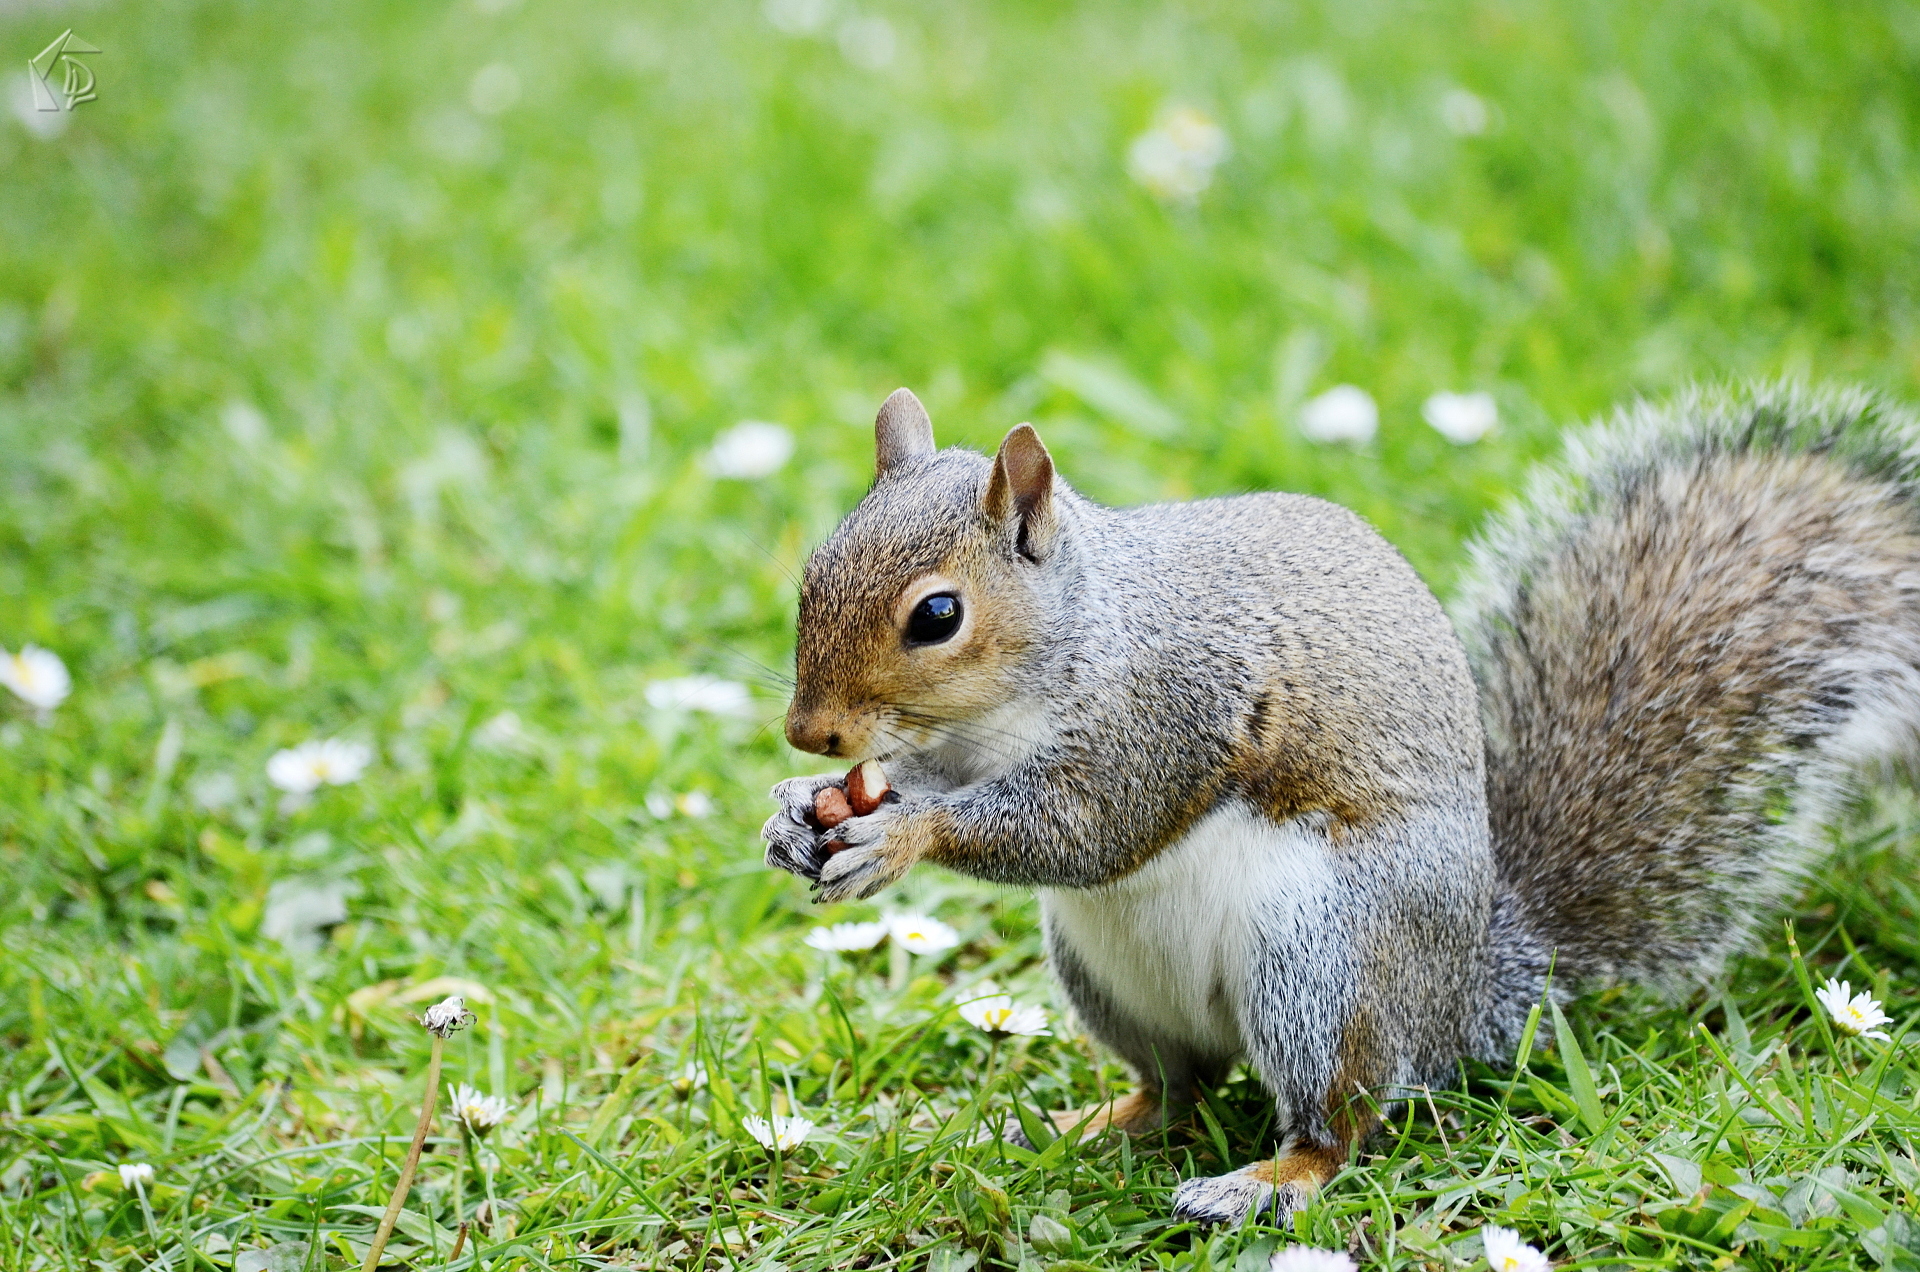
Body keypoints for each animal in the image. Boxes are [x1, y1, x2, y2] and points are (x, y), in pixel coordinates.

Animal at [761, 381, 1920, 1226]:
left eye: (937, 616)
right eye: (812, 569)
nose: (810, 735)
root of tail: (1462, 1000)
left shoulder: (1170, 712)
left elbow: (1088, 827)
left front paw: (899, 834)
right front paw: (796, 812)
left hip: (1322, 962)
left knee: (1340, 1125)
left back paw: (1262, 1183)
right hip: (1110, 975)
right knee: (1177, 1091)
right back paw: (1084, 1122)